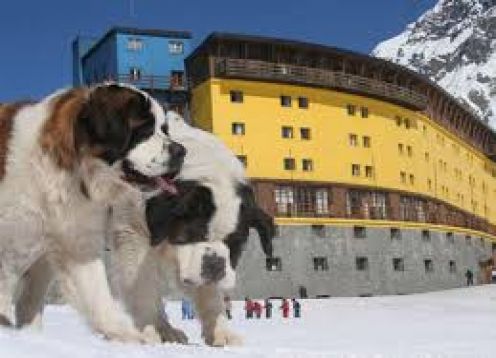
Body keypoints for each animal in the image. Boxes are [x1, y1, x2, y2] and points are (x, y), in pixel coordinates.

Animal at [0, 82, 186, 342]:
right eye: (143, 129)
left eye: (163, 129)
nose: (181, 151)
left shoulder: (77, 240)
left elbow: (98, 293)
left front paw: (131, 334)